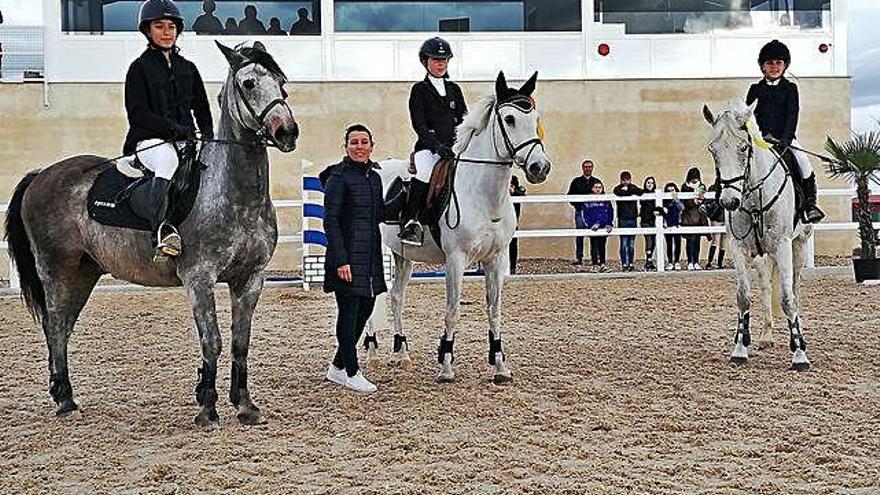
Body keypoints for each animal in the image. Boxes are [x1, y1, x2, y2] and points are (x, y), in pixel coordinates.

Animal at [3, 42, 300, 428]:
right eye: (248, 83)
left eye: (281, 83)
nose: (287, 132)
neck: (235, 196)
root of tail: (41, 175)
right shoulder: (199, 278)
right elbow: (213, 341)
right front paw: (207, 408)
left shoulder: (250, 279)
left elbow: (240, 342)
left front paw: (245, 405)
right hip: (57, 270)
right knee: (54, 326)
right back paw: (65, 400)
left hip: (83, 272)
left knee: (63, 327)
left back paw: (63, 395)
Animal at [364, 72, 552, 384]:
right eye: (509, 119)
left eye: (535, 118)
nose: (540, 167)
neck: (484, 195)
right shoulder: (456, 259)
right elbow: (452, 311)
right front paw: (446, 366)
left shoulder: (495, 259)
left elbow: (494, 311)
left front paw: (500, 366)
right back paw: (371, 353)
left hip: (403, 255)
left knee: (396, 297)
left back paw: (401, 353)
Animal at [700, 101, 812, 372]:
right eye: (713, 150)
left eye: (744, 148)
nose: (729, 202)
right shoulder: (738, 248)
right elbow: (743, 297)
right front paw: (740, 349)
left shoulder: (782, 246)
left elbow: (788, 299)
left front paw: (799, 355)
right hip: (761, 256)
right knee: (766, 286)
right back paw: (765, 336)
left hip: (799, 245)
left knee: (795, 287)